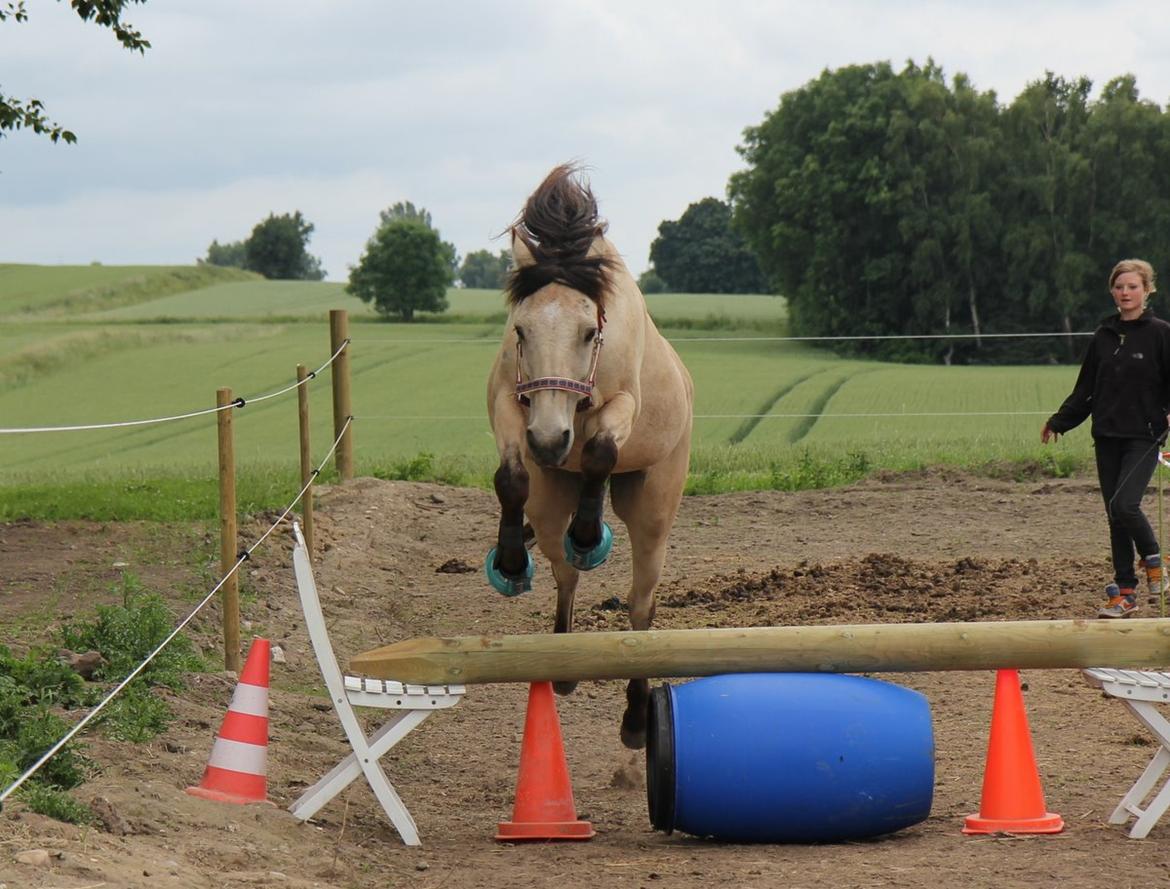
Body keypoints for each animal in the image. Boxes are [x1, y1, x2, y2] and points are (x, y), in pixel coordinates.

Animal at [484, 163, 692, 748]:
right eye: (521, 329)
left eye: (587, 331)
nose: (550, 442)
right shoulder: (510, 405)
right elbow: (510, 478)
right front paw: (511, 563)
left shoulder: (622, 405)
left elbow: (600, 449)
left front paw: (588, 535)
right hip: (552, 499)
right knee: (564, 574)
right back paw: (563, 666)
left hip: (653, 511)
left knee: (641, 602)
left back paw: (637, 717)